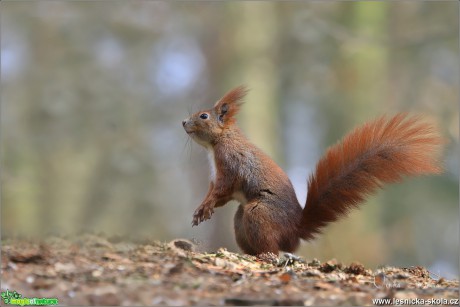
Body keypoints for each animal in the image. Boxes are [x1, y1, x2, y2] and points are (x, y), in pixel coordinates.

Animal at [181, 85, 444, 256]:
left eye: (203, 116)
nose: (183, 122)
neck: (218, 143)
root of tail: (295, 231)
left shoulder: (230, 165)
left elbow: (222, 190)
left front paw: (205, 208)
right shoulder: (216, 175)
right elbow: (215, 193)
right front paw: (201, 209)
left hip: (259, 213)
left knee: (273, 248)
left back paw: (266, 255)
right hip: (241, 220)